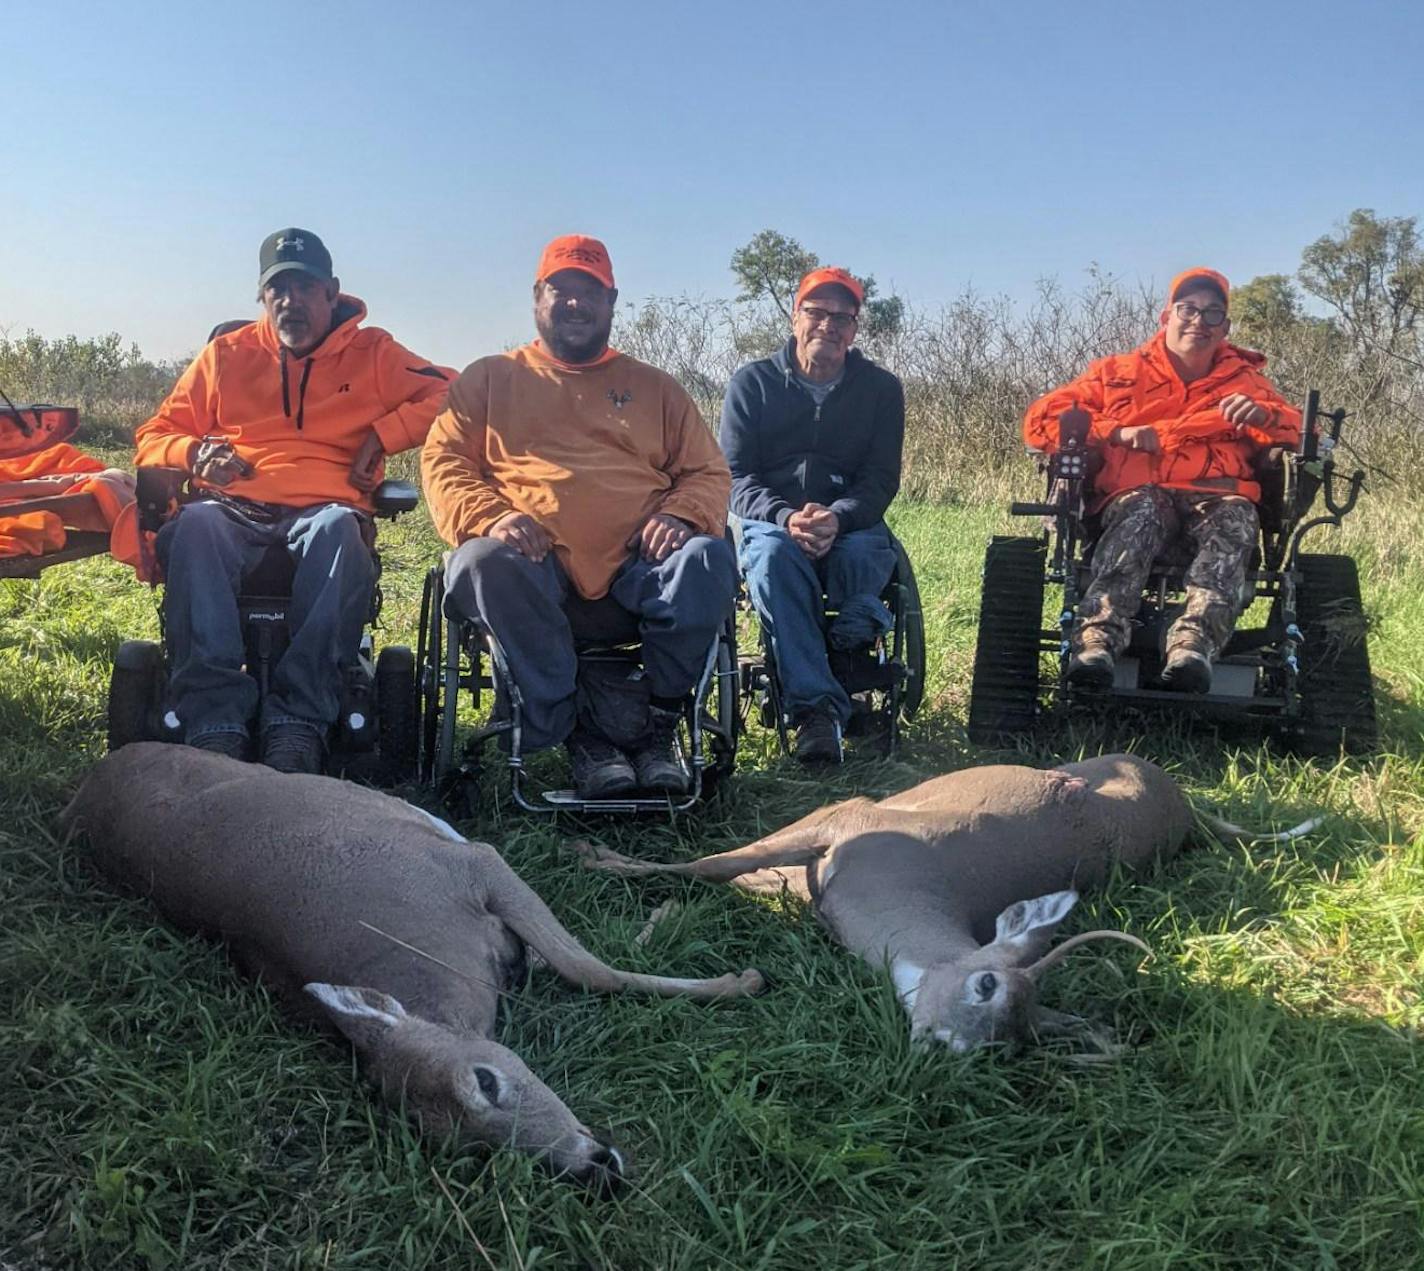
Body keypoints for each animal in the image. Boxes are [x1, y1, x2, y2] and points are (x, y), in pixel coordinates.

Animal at [61, 745, 763, 1189]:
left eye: (486, 1081)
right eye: (469, 1149)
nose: (594, 1169)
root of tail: (87, 781)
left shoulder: (474, 863)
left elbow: (591, 970)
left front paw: (737, 979)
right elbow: (581, 963)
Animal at [575, 751, 1310, 1053]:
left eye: (1011, 1043)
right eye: (987, 983)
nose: (949, 1046)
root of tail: (1188, 806)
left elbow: (730, 874)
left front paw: (651, 915)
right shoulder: (847, 816)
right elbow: (715, 862)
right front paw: (606, 863)